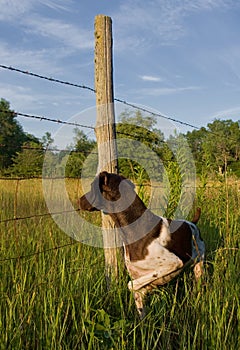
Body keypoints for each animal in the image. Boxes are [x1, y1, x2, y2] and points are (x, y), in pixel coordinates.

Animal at [79, 171, 204, 318]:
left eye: (92, 186)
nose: (79, 200)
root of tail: (193, 223)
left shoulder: (173, 263)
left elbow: (131, 284)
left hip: (199, 267)